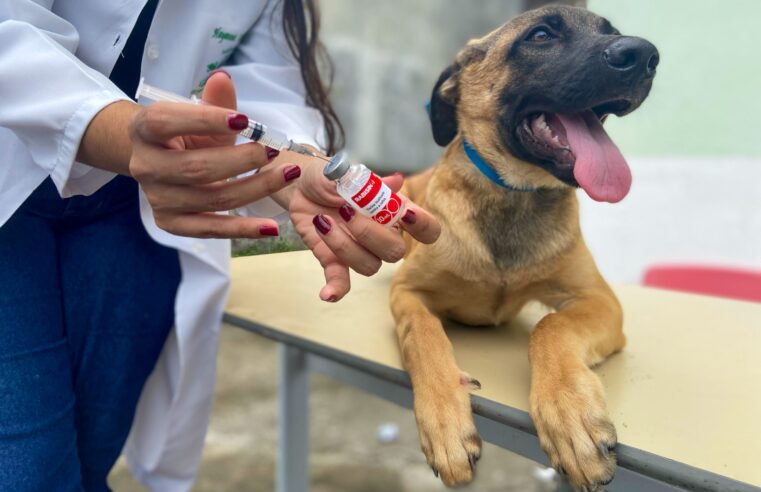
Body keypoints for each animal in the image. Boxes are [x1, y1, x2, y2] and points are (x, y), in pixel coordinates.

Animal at [388, 4, 656, 492]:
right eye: (541, 35)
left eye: (612, 31)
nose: (645, 55)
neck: (513, 194)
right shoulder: (408, 292)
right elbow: (424, 334)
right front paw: (444, 420)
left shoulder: (599, 300)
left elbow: (549, 326)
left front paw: (569, 412)